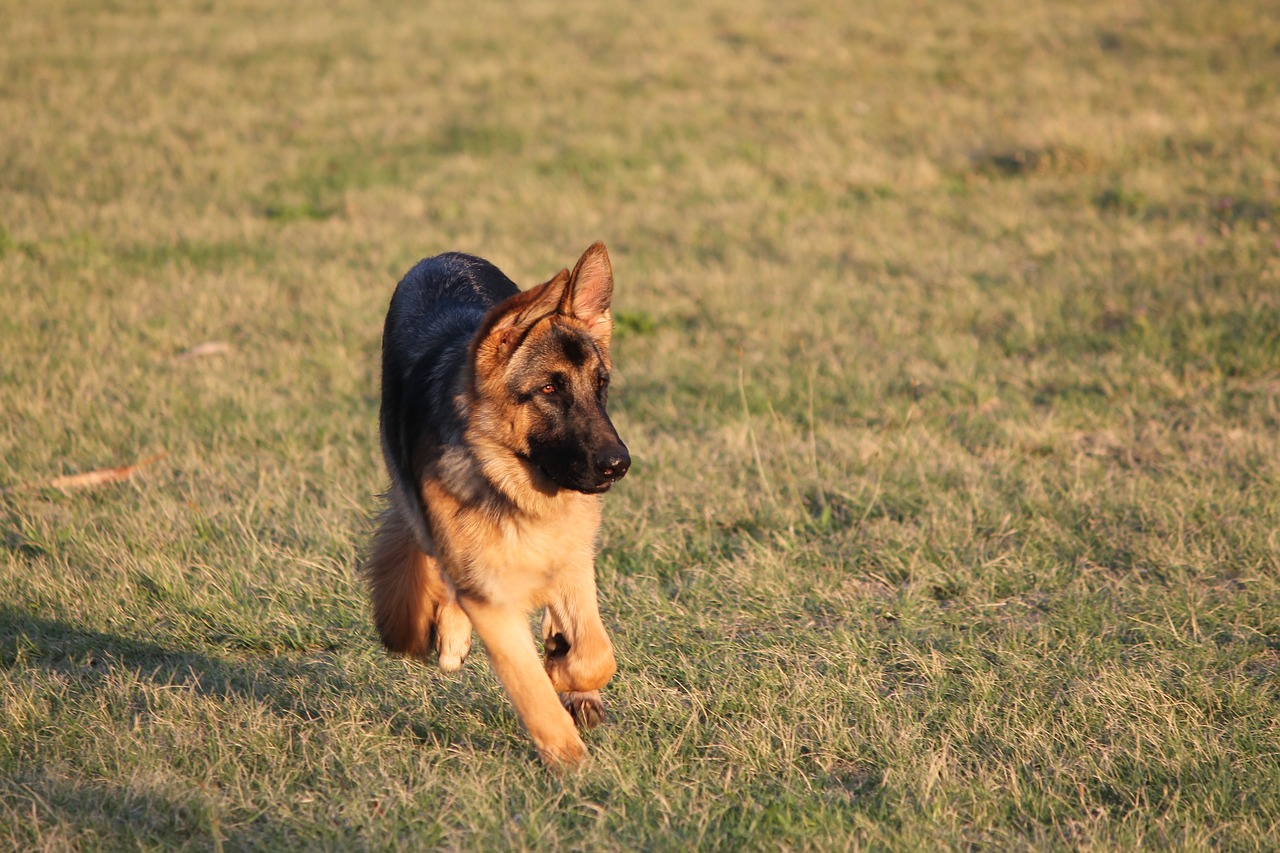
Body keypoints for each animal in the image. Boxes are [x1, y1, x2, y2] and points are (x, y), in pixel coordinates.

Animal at [366, 242, 629, 768]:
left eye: (601, 384)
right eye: (548, 389)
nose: (619, 464)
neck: (509, 480)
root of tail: (445, 255)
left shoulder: (571, 557)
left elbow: (596, 653)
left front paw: (566, 666)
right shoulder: (491, 598)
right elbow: (531, 689)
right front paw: (571, 763)